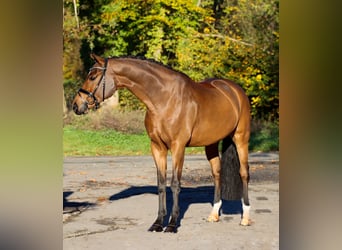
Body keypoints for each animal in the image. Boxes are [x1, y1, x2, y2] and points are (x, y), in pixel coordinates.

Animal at [72, 54, 251, 232]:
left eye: (92, 76)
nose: (76, 105)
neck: (165, 99)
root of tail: (235, 90)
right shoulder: (157, 147)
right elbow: (161, 184)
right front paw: (158, 223)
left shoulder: (178, 146)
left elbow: (175, 184)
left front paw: (172, 224)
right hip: (211, 144)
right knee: (217, 173)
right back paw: (214, 214)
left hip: (241, 139)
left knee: (243, 173)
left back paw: (246, 217)